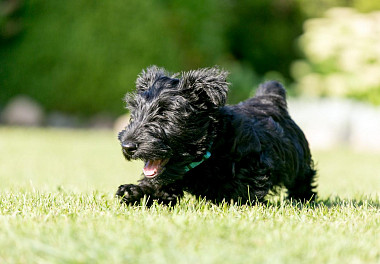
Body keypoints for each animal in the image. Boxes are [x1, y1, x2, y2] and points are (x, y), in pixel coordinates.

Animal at [115, 66, 314, 206]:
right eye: (134, 114)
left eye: (165, 115)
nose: (127, 146)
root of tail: (271, 97)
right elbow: (158, 187)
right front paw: (133, 192)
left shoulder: (255, 163)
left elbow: (244, 189)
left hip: (298, 160)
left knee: (304, 180)